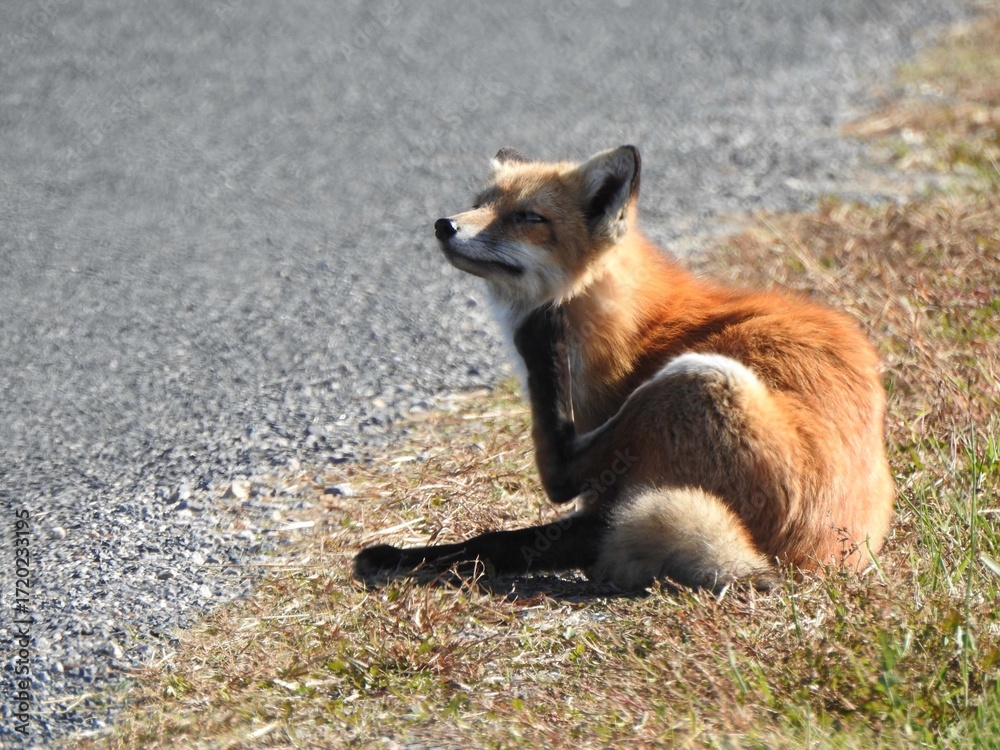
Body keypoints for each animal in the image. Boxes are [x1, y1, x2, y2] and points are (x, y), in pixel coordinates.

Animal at [353, 145, 894, 591]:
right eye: (479, 202)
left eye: (528, 216)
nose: (444, 224)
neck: (623, 322)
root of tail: (815, 563)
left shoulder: (608, 484)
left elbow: (521, 529)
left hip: (700, 378)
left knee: (559, 475)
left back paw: (540, 343)